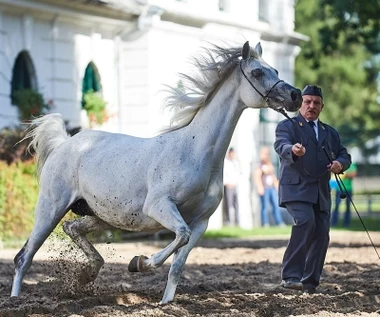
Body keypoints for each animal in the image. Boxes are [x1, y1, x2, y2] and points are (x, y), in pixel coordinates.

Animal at [11, 40, 300, 302]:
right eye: (258, 72)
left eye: (275, 69)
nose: (296, 95)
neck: (195, 151)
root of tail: (63, 144)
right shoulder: (159, 206)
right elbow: (178, 237)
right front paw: (139, 262)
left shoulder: (201, 222)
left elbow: (178, 265)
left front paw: (166, 302)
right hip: (50, 208)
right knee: (24, 256)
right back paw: (16, 299)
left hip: (100, 216)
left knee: (71, 228)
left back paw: (89, 272)